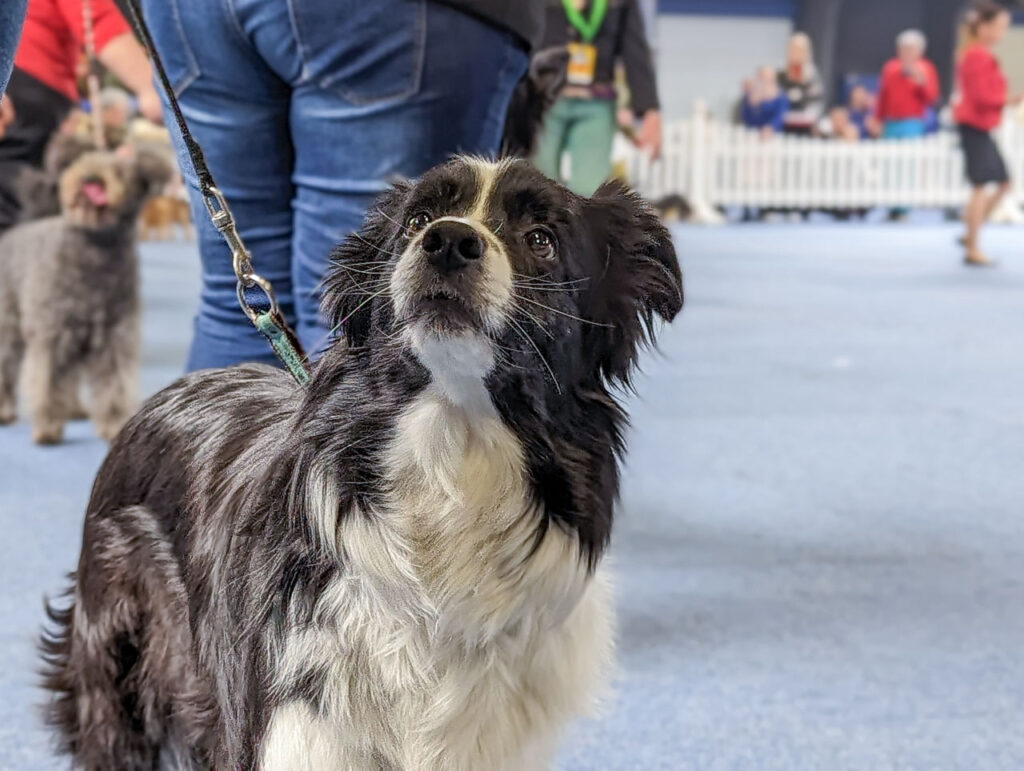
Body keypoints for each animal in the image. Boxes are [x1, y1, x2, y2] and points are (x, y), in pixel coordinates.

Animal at [0, 145, 172, 444]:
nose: (90, 178)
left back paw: (75, 409)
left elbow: (114, 386)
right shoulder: (53, 336)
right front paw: (48, 427)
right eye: (81, 162)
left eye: (120, 171)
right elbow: (48, 385)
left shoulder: (114, 339)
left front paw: (114, 426)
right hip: (10, 329)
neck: (93, 249)